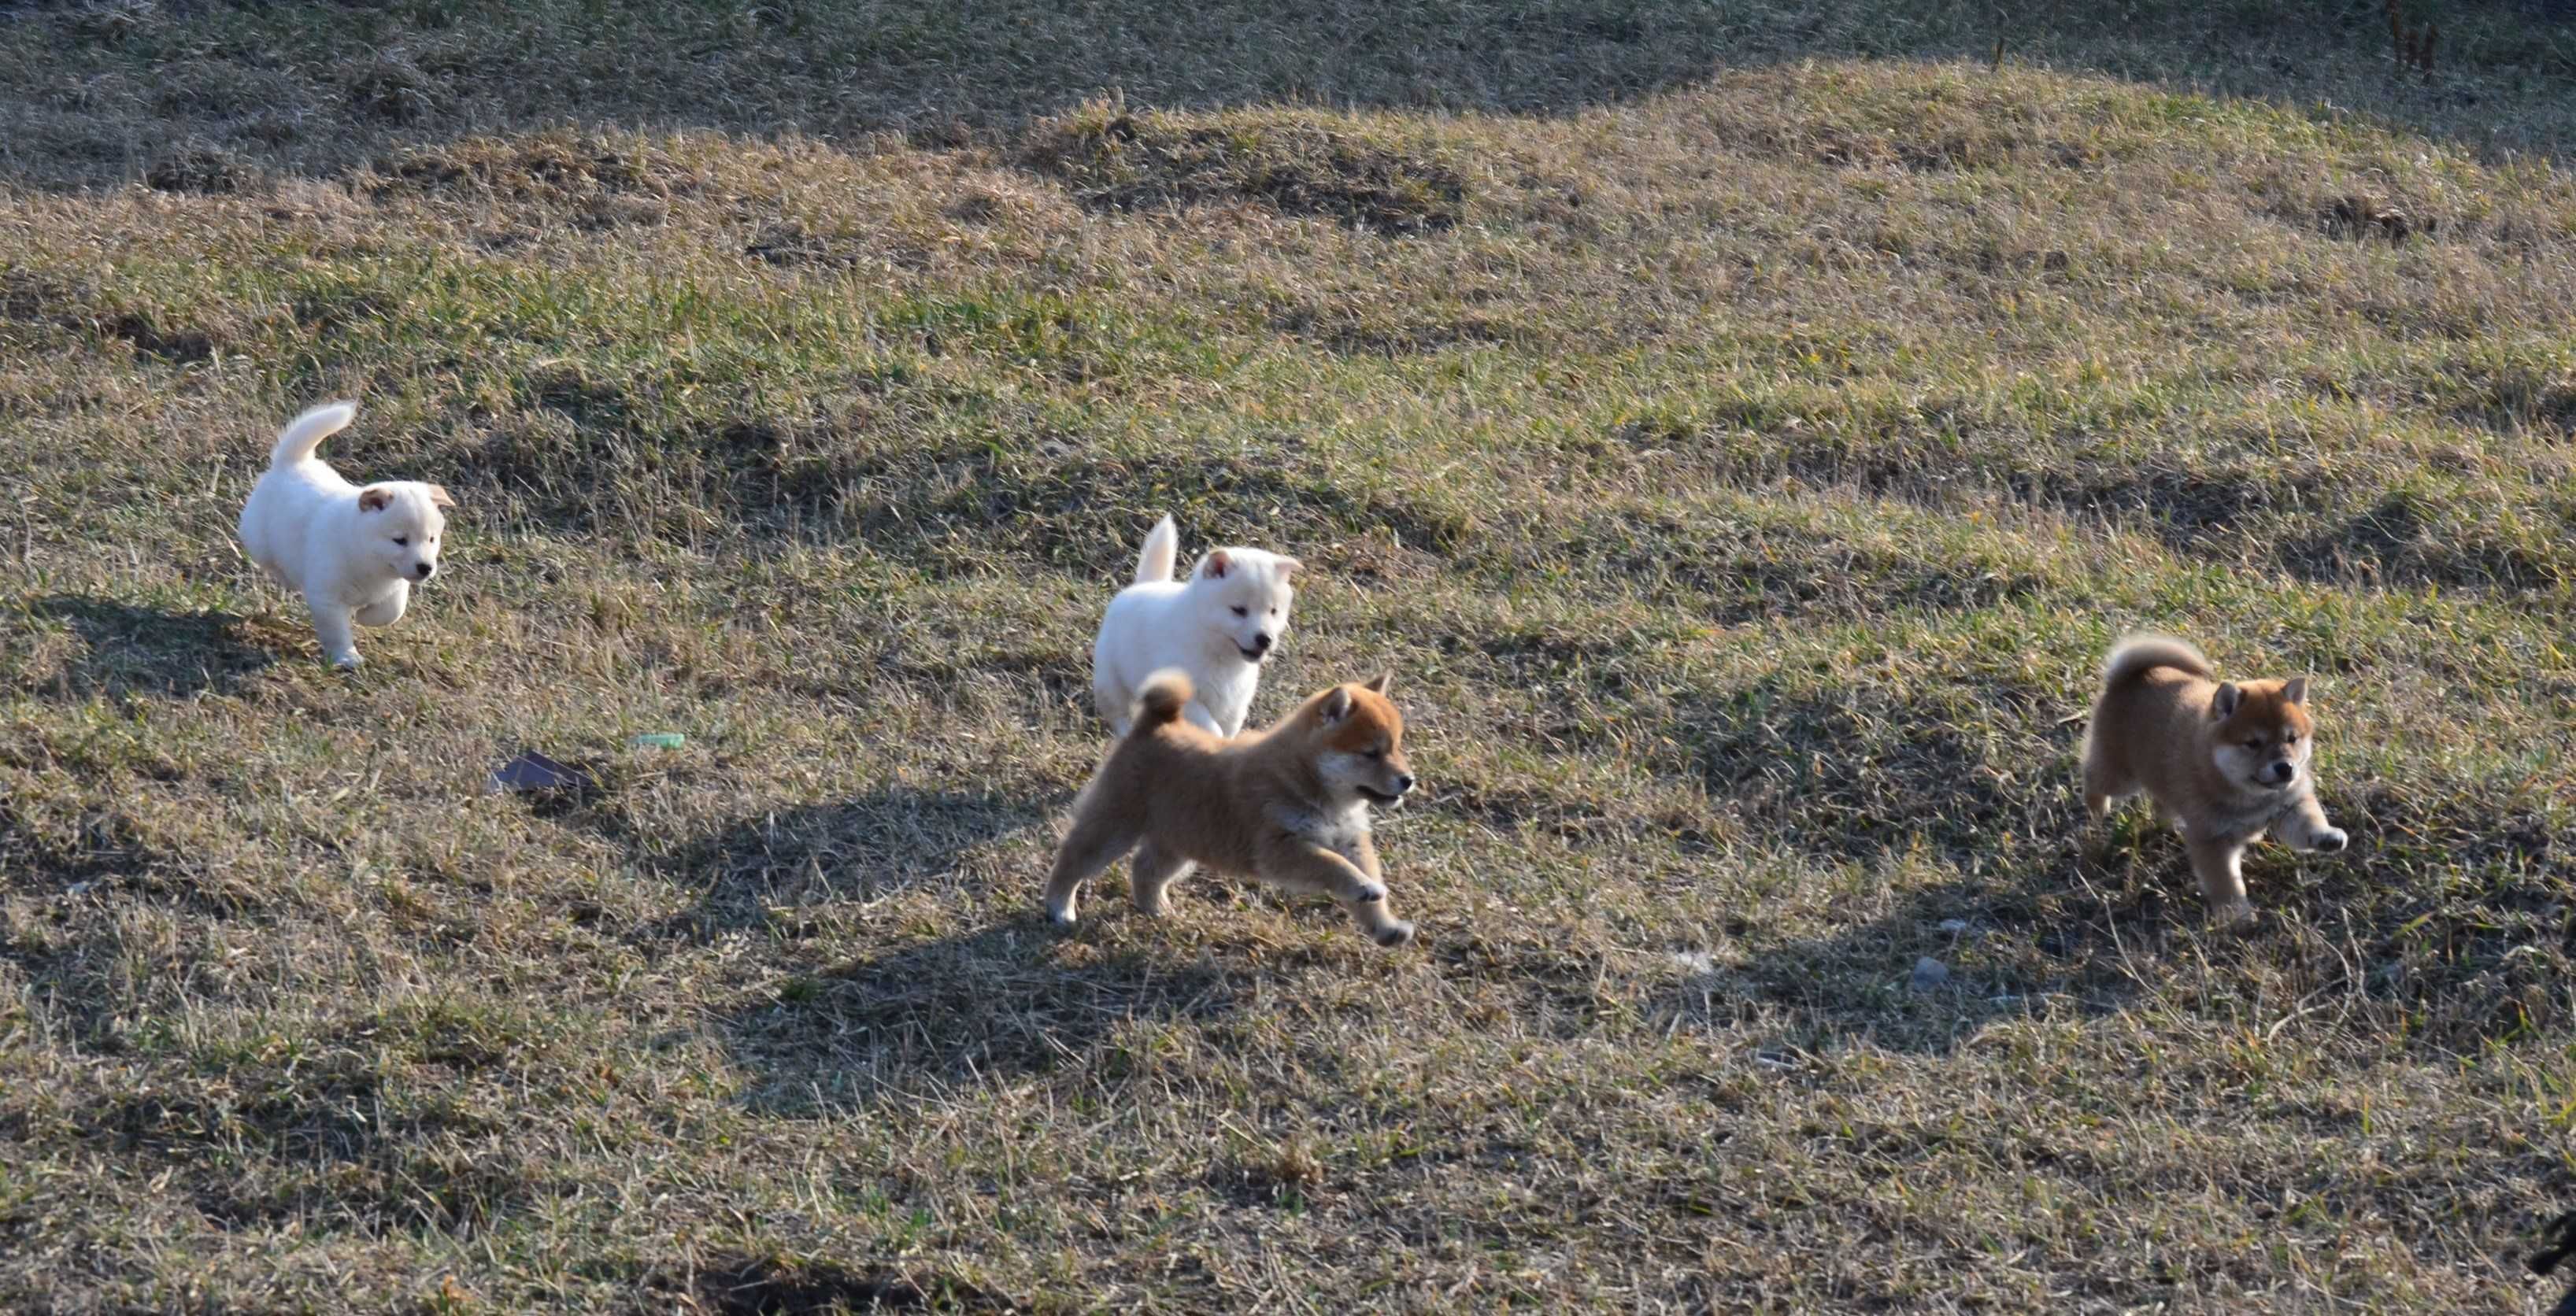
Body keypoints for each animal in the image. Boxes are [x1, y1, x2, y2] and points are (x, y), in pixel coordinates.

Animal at [237, 399, 453, 669]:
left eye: (432, 539)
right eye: (400, 540)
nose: (426, 568)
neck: (364, 555)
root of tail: (293, 462)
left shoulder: (395, 587)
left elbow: (391, 611)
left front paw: (365, 616)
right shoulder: (326, 598)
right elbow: (337, 632)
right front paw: (347, 656)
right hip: (259, 541)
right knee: (271, 563)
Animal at [1035, 669, 1422, 948]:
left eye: (1397, 746)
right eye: (1371, 753)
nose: (1408, 780)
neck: (1308, 779)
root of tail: (1154, 725)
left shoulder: (1351, 842)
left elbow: (1363, 885)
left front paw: (1386, 928)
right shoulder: (1279, 847)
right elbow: (1333, 867)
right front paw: (1362, 886)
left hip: (1180, 840)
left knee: (1145, 869)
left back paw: (1158, 910)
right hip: (1115, 827)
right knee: (1073, 859)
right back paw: (1060, 907)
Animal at [1086, 517, 1298, 741]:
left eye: (1274, 611)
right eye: (1239, 610)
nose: (1265, 639)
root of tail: (1142, 585)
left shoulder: (1235, 705)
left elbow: (1228, 732)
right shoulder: (1188, 699)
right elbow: (1212, 729)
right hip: (1111, 683)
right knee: (1120, 715)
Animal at [2081, 633, 2349, 922]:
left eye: (2292, 738)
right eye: (2253, 743)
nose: (2285, 767)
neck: (2250, 796)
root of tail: (2126, 678)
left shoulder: (2290, 806)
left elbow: (2309, 823)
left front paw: (2327, 837)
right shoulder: (2211, 839)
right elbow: (2226, 882)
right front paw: (2236, 916)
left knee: (2161, 801)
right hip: (2120, 776)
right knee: (2092, 776)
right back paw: (2097, 810)